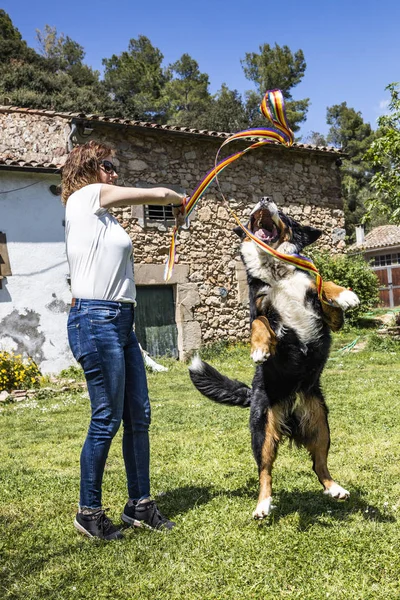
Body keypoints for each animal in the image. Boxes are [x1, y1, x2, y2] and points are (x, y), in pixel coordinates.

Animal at [190, 199, 360, 516]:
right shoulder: (260, 311)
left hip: (320, 423)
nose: (265, 199)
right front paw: (260, 348)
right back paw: (263, 504)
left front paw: (343, 293)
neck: (277, 272)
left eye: (284, 214)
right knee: (265, 471)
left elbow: (322, 287)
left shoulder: (327, 316)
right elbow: (259, 324)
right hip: (263, 432)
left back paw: (334, 488)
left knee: (319, 464)